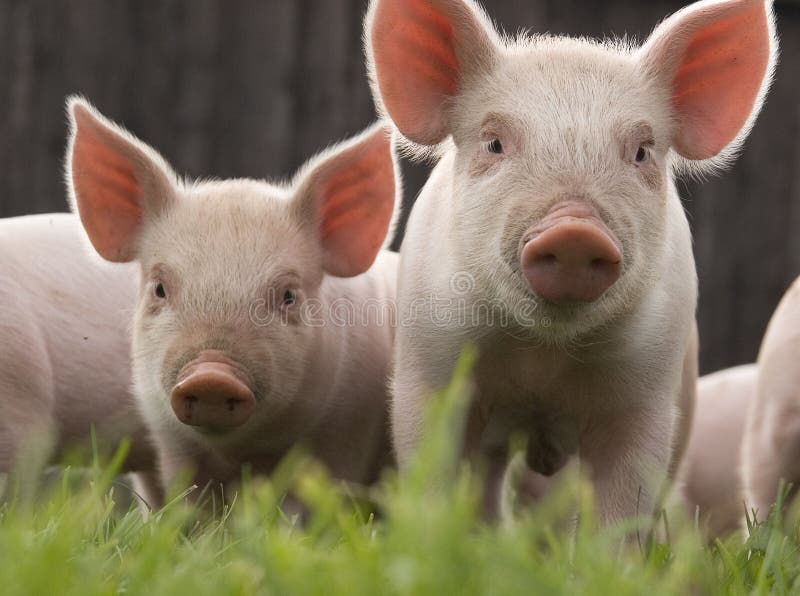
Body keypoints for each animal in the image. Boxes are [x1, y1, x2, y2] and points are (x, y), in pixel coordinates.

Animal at [65, 96, 400, 502]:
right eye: (160, 288)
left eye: (288, 296)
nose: (211, 376)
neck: (240, 454)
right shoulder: (169, 438)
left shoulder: (346, 433)